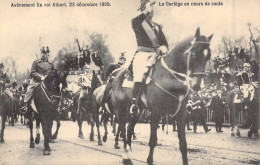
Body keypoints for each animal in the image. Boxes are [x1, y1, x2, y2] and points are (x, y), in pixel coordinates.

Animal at [110, 27, 212, 164]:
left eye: (208, 56)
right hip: (121, 109)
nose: (197, 85)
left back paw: (128, 156)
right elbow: (153, 141)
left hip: (138, 111)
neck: (168, 76)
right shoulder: (156, 112)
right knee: (122, 128)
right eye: (194, 53)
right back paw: (125, 154)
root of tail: (116, 76)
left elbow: (183, 143)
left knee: (129, 128)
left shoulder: (181, 113)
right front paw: (149, 160)